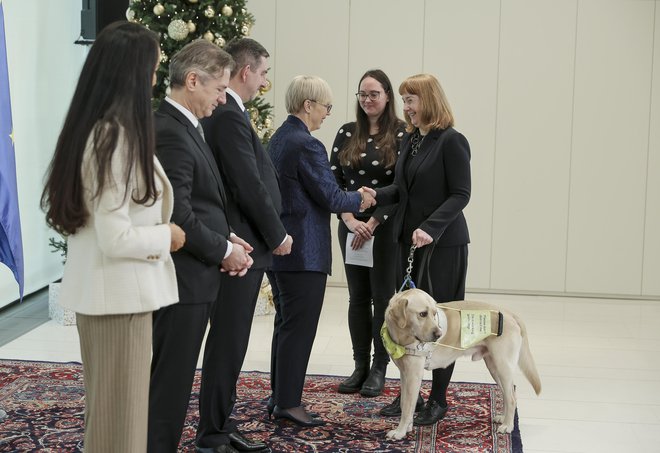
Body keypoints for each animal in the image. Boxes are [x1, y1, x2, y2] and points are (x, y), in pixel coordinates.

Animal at [382, 288, 540, 440]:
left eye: (434, 313)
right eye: (422, 314)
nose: (439, 335)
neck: (403, 337)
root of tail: (510, 314)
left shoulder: (414, 375)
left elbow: (407, 407)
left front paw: (400, 432)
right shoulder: (404, 373)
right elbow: (404, 403)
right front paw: (407, 427)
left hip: (503, 366)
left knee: (512, 398)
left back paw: (508, 426)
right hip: (494, 368)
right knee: (509, 394)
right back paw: (504, 418)